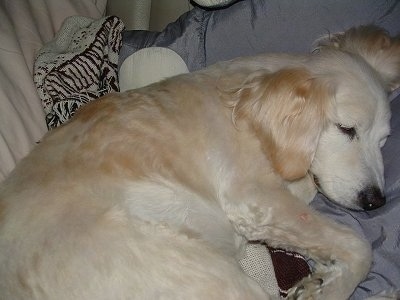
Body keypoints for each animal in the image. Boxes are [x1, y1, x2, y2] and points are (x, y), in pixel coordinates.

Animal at [0, 25, 398, 300]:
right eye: (346, 129)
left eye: (383, 140)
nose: (375, 201)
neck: (245, 105)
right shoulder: (254, 198)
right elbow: (357, 245)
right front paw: (330, 287)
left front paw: (321, 277)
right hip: (203, 271)